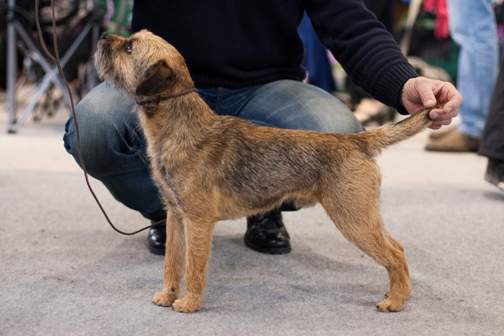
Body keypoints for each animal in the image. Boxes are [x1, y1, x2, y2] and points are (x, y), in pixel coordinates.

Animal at [95, 30, 434, 314]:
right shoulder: (176, 217)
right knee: (396, 249)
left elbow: (193, 266)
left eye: (129, 47)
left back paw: (396, 300)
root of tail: (357, 140)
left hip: (354, 218)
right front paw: (167, 295)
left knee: (396, 252)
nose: (102, 37)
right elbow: (171, 261)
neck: (181, 127)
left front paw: (189, 302)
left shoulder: (198, 222)